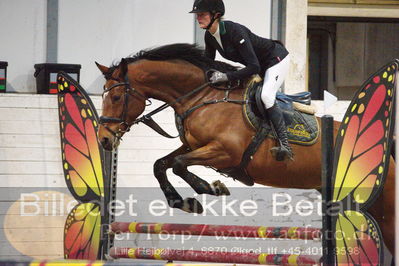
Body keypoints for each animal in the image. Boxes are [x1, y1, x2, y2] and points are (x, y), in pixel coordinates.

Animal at [96, 42, 396, 255]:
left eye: (116, 96)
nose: (104, 140)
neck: (203, 96)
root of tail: (388, 157)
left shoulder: (224, 152)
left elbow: (180, 165)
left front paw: (211, 188)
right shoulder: (193, 145)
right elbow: (161, 164)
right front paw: (186, 202)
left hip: (384, 208)